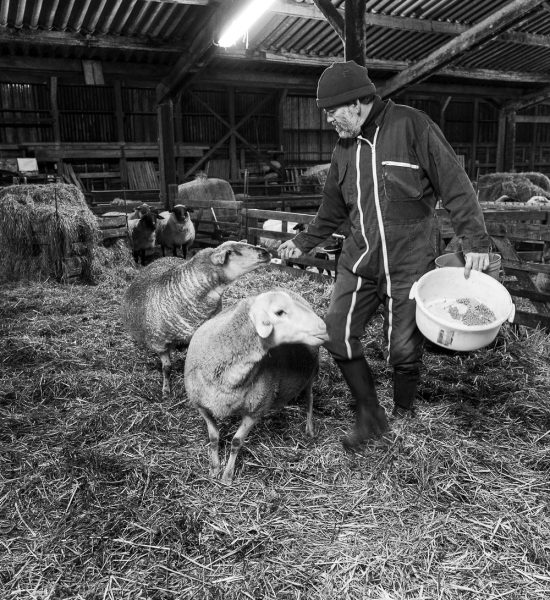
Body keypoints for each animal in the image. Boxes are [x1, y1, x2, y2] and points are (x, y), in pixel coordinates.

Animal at [121, 239, 272, 398]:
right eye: (232, 252)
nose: (266, 253)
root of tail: (162, 258)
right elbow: (167, 367)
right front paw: (166, 390)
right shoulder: (159, 342)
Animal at [183, 288, 330, 486]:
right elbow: (213, 437)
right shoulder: (201, 405)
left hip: (311, 374)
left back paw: (309, 428)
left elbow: (236, 442)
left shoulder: (256, 411)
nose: (324, 327)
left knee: (310, 399)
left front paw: (227, 476)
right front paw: (214, 468)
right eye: (279, 312)